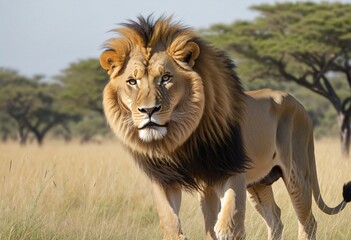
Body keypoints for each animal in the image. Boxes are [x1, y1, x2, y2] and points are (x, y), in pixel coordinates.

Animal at [99, 15, 351, 239]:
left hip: (296, 172)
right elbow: (174, 223)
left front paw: (225, 227)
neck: (183, 138)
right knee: (275, 219)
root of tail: (300, 105)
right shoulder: (169, 179)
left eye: (166, 78)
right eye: (132, 81)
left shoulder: (230, 169)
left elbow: (228, 223)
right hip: (259, 183)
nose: (149, 110)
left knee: (308, 222)